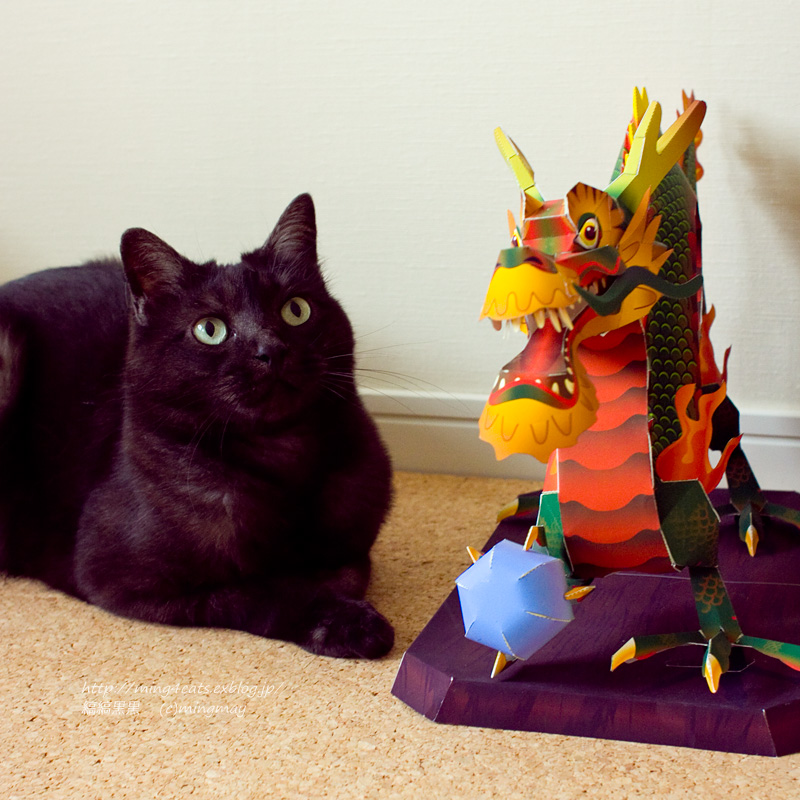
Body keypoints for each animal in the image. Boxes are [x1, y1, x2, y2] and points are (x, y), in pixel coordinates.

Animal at [0, 193, 394, 659]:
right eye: (210, 329)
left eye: (296, 310)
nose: (271, 350)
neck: (283, 461)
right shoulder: (121, 580)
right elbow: (258, 592)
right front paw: (346, 622)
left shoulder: (354, 544)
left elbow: (343, 571)